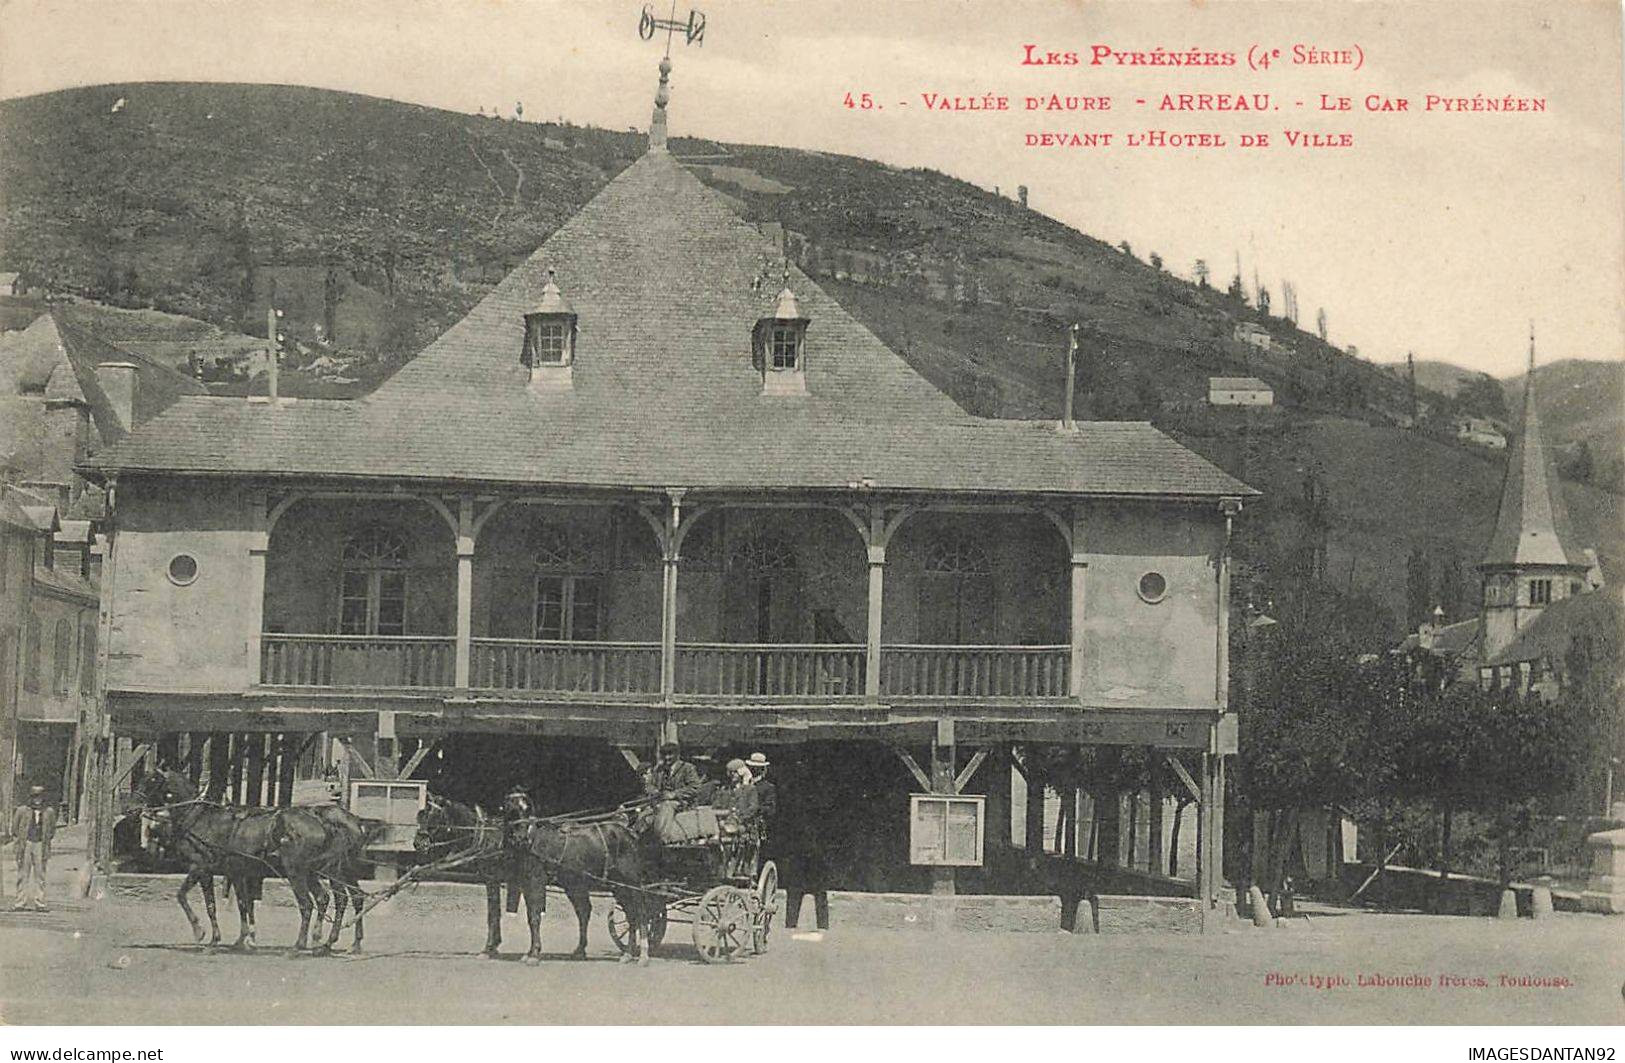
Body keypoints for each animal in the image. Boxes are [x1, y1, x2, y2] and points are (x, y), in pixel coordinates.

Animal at [140, 770, 380, 955]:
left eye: (151, 780)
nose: (137, 805)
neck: (201, 819)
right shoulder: (237, 872)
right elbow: (242, 904)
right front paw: (242, 939)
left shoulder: (201, 867)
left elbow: (197, 901)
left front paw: (205, 935)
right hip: (325, 871)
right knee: (339, 898)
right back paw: (337, 942)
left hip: (313, 871)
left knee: (322, 902)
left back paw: (309, 944)